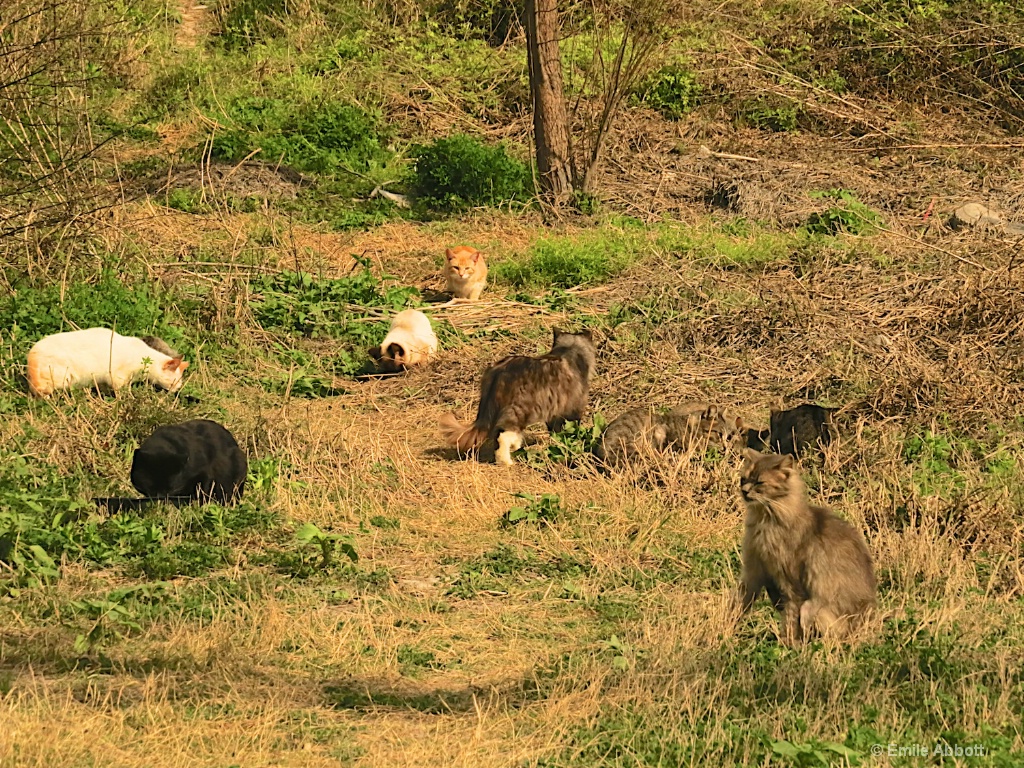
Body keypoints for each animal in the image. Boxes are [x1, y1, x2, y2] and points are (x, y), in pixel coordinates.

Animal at [25, 325, 189, 397]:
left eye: (180, 382)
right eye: (175, 381)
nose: (177, 389)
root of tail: (31, 354)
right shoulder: (117, 377)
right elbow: (122, 393)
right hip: (60, 379)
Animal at [438, 329, 598, 466]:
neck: (569, 351)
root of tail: (500, 371)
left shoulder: (553, 411)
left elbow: (555, 430)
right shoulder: (573, 408)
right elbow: (570, 429)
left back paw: (514, 447)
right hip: (520, 411)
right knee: (503, 435)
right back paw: (507, 461)